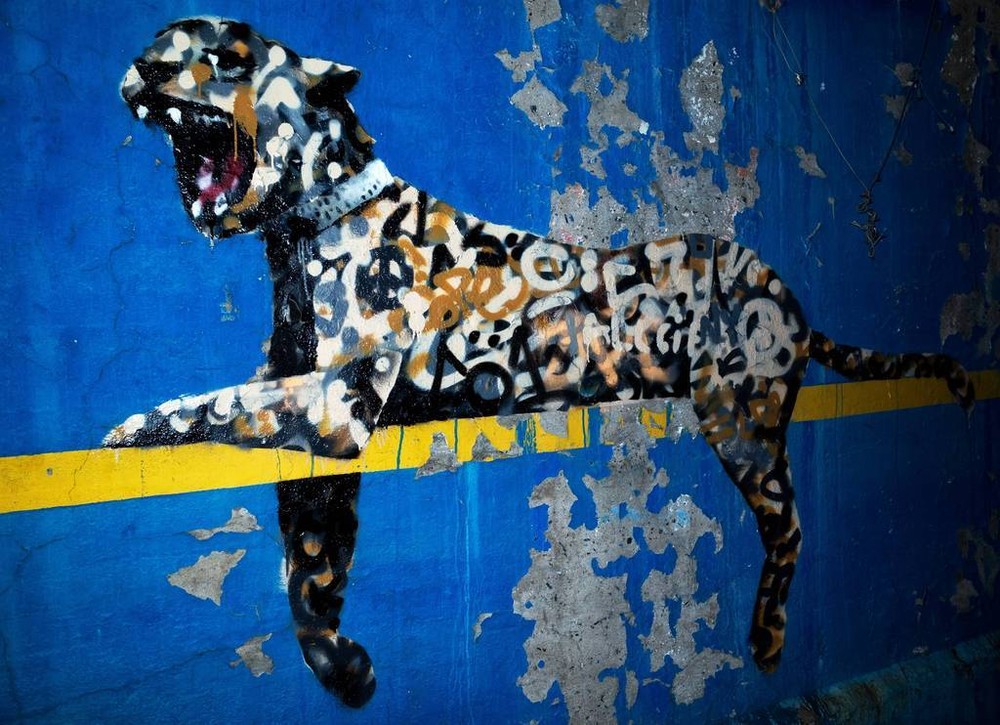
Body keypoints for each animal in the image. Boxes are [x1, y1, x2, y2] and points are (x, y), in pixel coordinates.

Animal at [108, 17, 975, 708]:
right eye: (159, 42)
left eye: (229, 56)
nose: (141, 68)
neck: (295, 236)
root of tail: (789, 290)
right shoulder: (325, 443)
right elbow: (311, 566)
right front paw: (344, 669)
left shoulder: (336, 402)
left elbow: (210, 402)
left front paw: (125, 429)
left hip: (743, 422)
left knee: (789, 522)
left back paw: (765, 641)